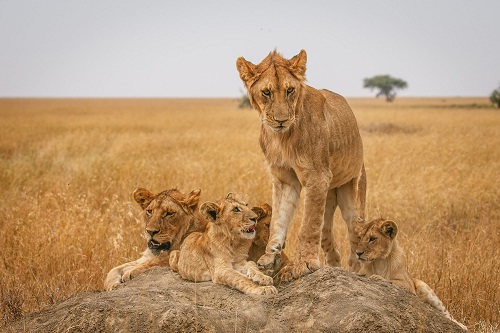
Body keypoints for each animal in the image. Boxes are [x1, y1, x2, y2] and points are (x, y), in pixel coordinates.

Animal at [236, 48, 366, 280]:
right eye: (266, 92)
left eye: (290, 90)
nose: (281, 120)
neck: (281, 137)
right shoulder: (284, 178)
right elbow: (279, 218)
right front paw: (270, 256)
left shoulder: (317, 176)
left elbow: (308, 225)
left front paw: (303, 263)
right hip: (328, 197)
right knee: (328, 240)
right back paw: (333, 268)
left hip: (353, 194)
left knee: (355, 234)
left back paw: (356, 270)